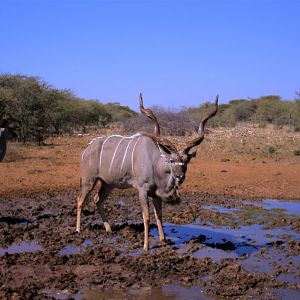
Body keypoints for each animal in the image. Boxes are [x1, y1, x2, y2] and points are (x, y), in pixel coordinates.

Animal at [77, 94, 218, 251]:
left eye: (186, 161)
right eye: (171, 161)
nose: (180, 177)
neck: (155, 162)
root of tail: (86, 149)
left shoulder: (155, 194)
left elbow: (159, 215)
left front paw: (163, 240)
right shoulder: (142, 190)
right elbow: (146, 216)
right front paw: (146, 246)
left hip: (108, 184)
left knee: (98, 200)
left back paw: (109, 229)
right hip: (89, 180)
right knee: (80, 200)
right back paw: (78, 230)